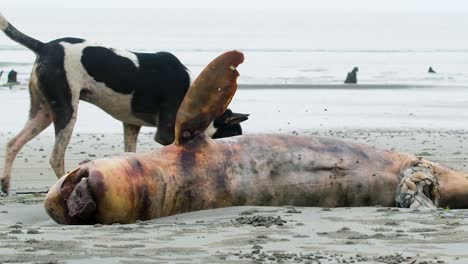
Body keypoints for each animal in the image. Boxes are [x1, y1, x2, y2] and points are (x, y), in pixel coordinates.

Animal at [0, 13, 249, 193]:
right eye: (234, 135)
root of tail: (44, 46)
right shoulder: (166, 133)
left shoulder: (131, 125)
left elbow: (131, 153)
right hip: (66, 110)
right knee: (55, 157)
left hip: (42, 112)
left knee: (13, 143)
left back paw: (5, 184)